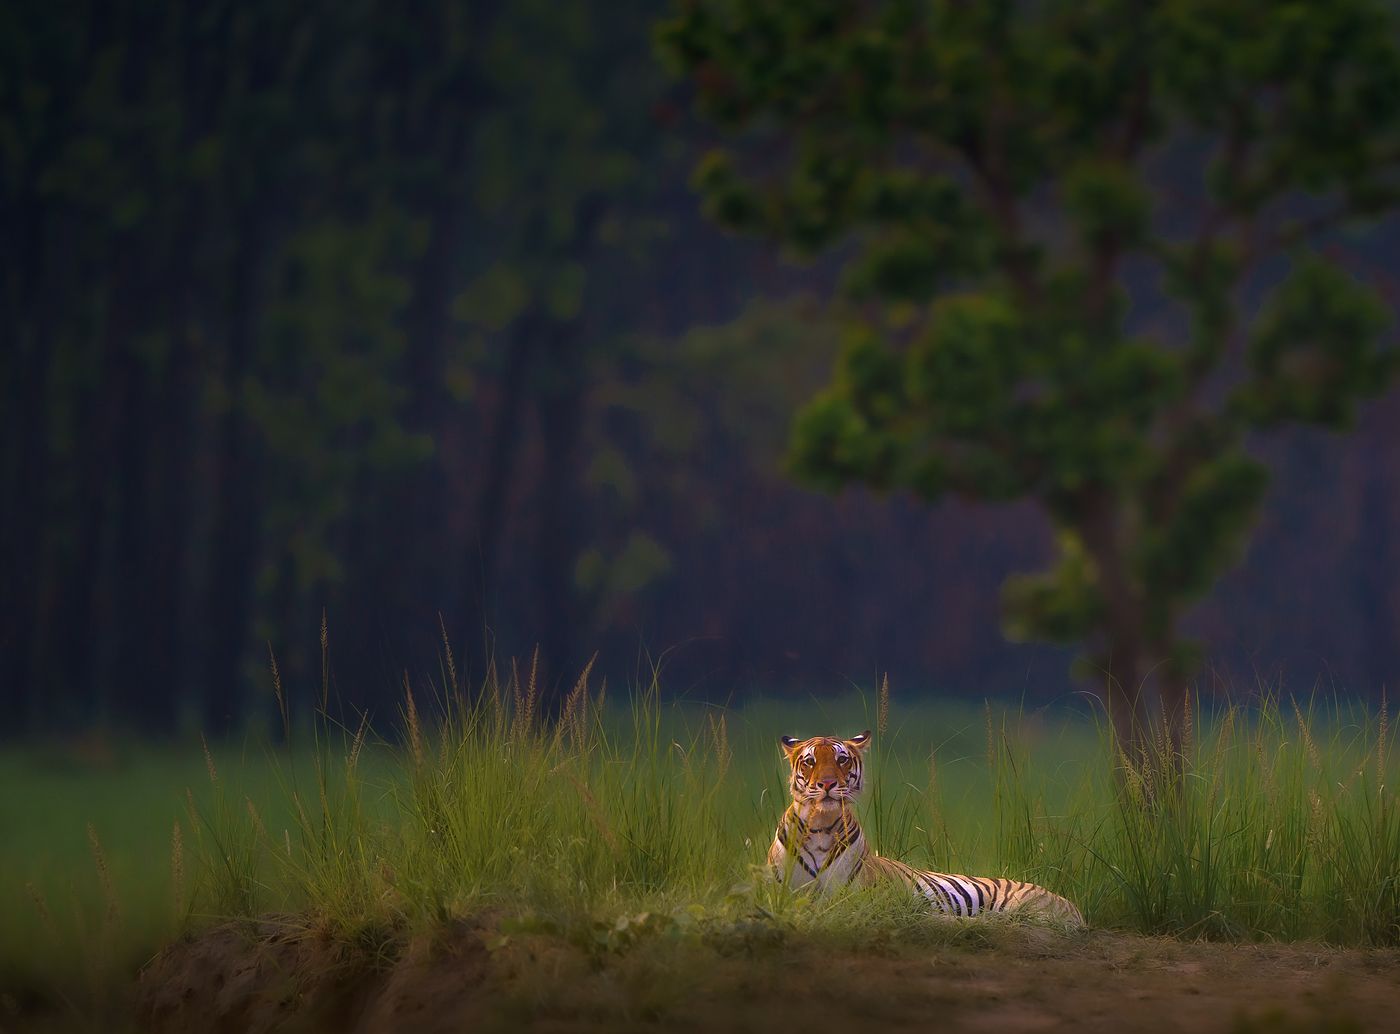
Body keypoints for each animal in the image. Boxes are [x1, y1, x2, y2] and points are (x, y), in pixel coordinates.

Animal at [767, 730, 1084, 925]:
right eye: (810, 761)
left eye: (841, 759)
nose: (828, 784)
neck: (820, 826)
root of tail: (1076, 908)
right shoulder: (781, 893)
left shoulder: (859, 897)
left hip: (1026, 904)